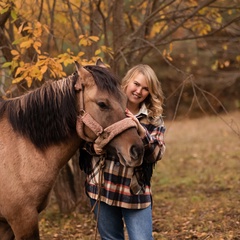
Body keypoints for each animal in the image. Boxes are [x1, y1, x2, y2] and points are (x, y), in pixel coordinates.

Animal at [0, 62, 144, 240]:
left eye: (125, 100)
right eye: (102, 104)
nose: (137, 150)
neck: (21, 150)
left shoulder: (6, 225)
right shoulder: (23, 220)